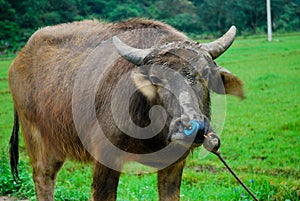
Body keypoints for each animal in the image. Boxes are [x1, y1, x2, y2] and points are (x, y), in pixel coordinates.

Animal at [8, 18, 244, 200]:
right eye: (156, 79)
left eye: (205, 73)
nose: (192, 128)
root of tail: (19, 60)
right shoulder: (105, 160)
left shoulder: (174, 164)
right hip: (38, 138)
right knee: (43, 177)